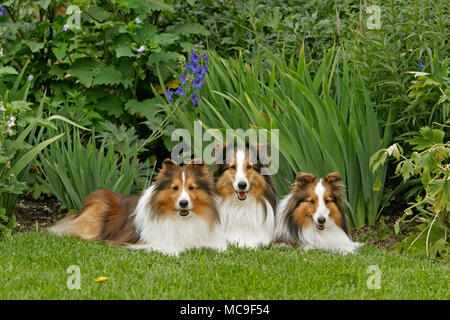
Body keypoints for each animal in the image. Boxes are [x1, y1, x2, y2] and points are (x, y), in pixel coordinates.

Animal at [48, 159, 229, 256]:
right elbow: (174, 249)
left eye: (192, 188)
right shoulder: (154, 242)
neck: (181, 219)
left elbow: (220, 247)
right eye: (175, 188)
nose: (183, 203)